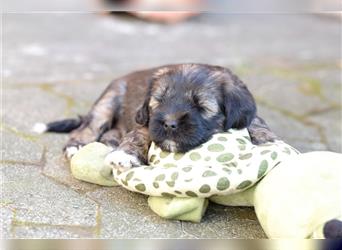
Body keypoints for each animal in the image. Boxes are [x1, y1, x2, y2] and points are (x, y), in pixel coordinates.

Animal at [34, 63, 276, 171]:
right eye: (159, 101)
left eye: (201, 106)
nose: (169, 124)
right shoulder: (146, 121)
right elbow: (138, 136)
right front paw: (124, 155)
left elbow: (256, 120)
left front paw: (265, 139)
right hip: (108, 99)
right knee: (89, 126)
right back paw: (77, 145)